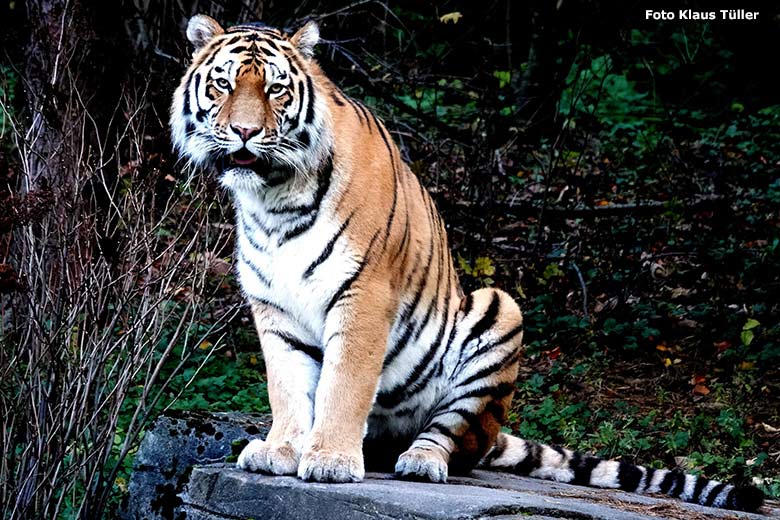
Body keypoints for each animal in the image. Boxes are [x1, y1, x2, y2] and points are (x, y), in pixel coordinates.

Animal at [169, 14, 760, 512]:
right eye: (222, 85)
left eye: (275, 89)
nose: (245, 131)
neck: (273, 198)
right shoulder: (275, 308)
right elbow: (289, 387)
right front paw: (282, 449)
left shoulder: (363, 294)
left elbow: (344, 383)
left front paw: (331, 460)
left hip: (498, 314)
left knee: (452, 439)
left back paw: (418, 462)